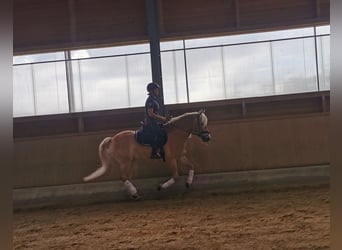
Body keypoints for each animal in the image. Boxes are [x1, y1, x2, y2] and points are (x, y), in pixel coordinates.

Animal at [83, 108, 211, 200]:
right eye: (201, 123)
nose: (208, 138)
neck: (177, 133)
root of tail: (112, 139)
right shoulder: (171, 159)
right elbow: (175, 176)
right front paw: (160, 187)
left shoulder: (180, 156)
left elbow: (192, 167)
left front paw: (188, 183)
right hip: (125, 162)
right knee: (124, 178)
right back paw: (135, 194)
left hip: (130, 162)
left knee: (127, 178)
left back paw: (134, 194)